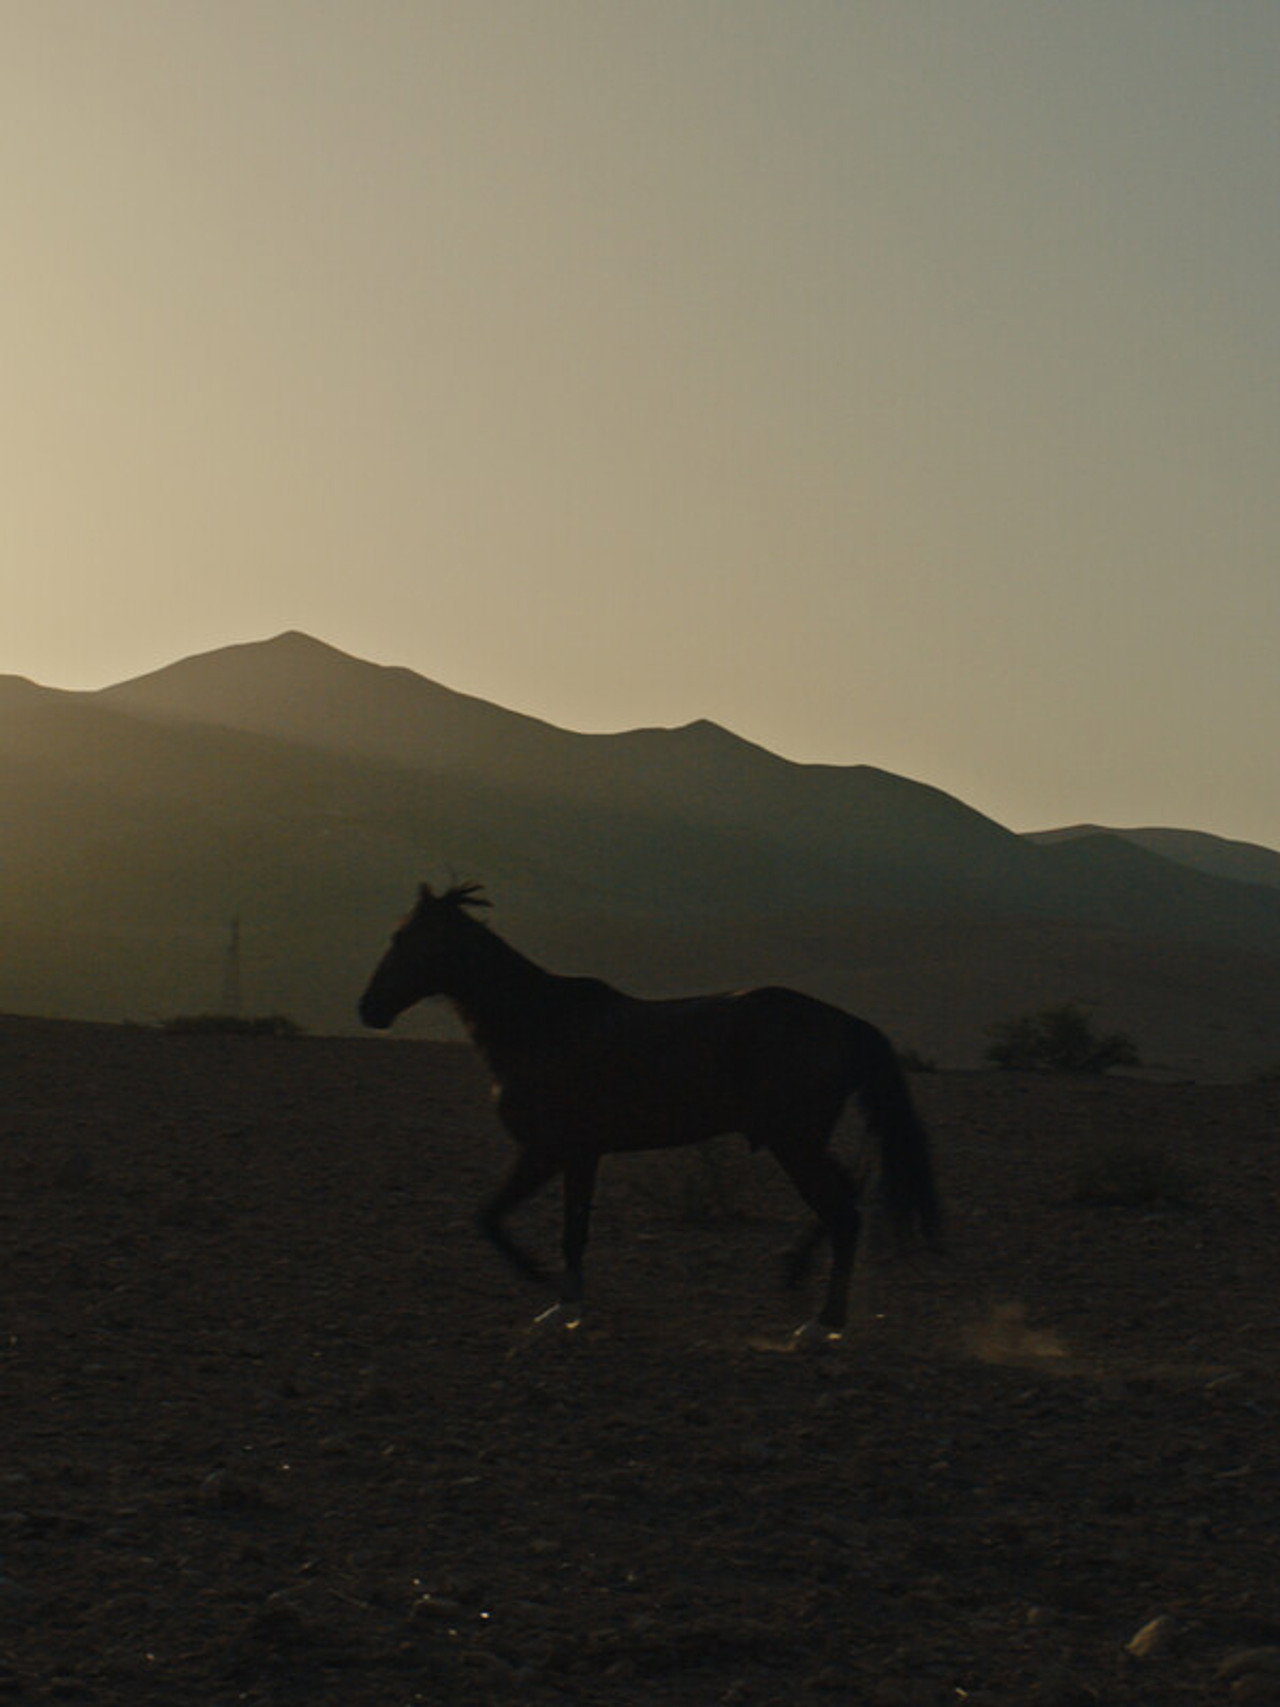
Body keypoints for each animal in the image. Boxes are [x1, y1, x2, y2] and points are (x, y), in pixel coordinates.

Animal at [359, 882, 941, 1339]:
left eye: (404, 939)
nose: (368, 1009)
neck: (538, 1024)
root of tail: (845, 1023)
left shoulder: (548, 1150)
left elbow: (494, 1218)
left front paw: (546, 1287)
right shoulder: (581, 1155)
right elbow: (568, 1228)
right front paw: (565, 1303)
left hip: (794, 1143)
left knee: (843, 1213)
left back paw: (822, 1325)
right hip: (801, 1141)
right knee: (849, 1195)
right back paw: (795, 1276)